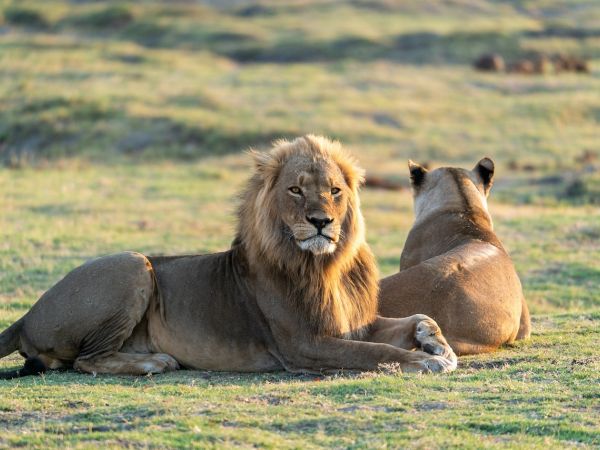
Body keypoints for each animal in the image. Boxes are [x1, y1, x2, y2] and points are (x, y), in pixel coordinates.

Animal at [2, 135, 458, 378]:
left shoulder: (352, 323)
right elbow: (375, 352)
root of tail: (27, 314)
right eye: (296, 189)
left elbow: (415, 317)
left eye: (334, 190)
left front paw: (436, 344)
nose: (321, 222)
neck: (325, 265)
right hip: (133, 265)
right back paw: (155, 362)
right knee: (85, 360)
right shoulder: (303, 344)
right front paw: (424, 361)